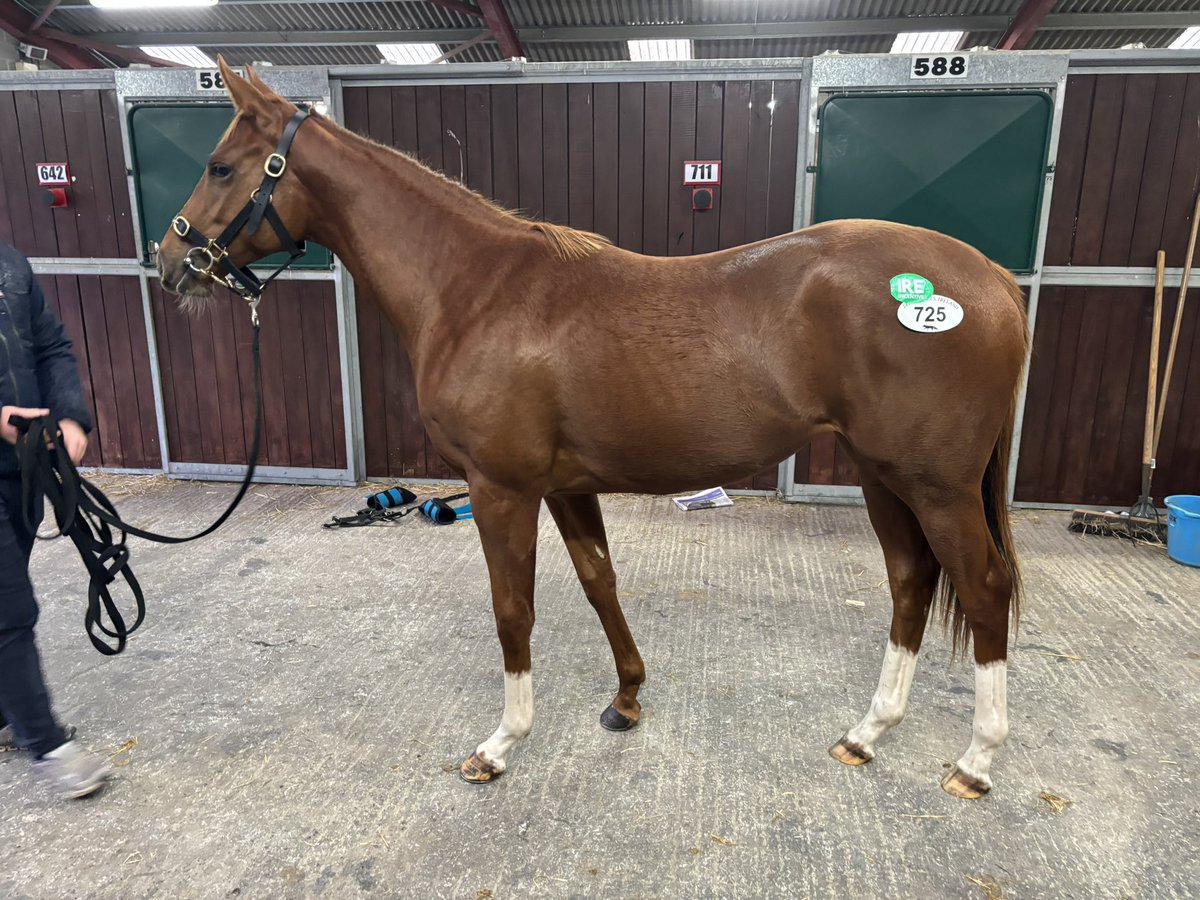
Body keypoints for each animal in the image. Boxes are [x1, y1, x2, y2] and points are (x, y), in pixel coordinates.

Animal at [156, 60, 1028, 799]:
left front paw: (500, 744)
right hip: (885, 476)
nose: (170, 261)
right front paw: (627, 700)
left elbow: (514, 609)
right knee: (912, 581)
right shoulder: (566, 487)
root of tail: (990, 279)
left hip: (936, 486)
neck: (475, 290)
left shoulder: (500, 488)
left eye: (221, 166)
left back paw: (976, 762)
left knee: (983, 588)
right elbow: (599, 580)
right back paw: (867, 733)